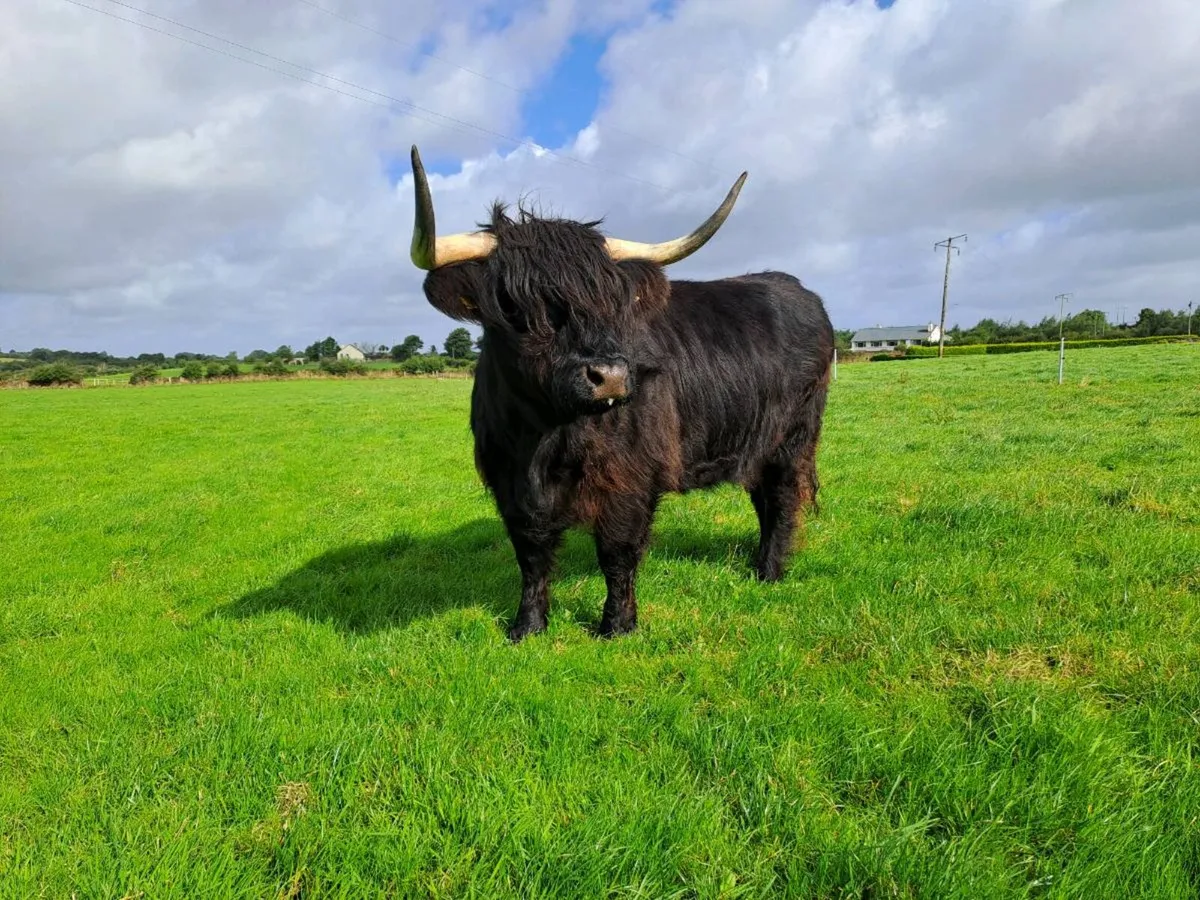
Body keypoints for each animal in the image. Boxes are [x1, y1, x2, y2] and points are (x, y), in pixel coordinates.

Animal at [407, 145, 834, 641]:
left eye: (611, 301)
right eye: (514, 304)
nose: (609, 376)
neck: (543, 434)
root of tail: (796, 288)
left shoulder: (630, 477)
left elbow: (617, 552)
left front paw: (616, 625)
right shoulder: (509, 482)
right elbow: (531, 557)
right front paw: (527, 626)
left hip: (793, 437)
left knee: (782, 497)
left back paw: (769, 571)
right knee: (763, 495)